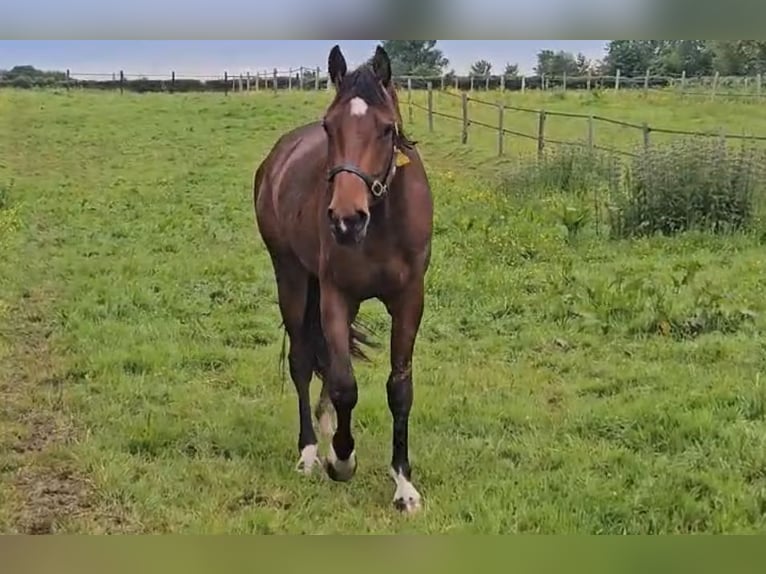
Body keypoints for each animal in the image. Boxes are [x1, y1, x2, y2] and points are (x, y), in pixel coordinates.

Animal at [252, 42, 432, 516]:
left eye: (387, 129)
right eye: (329, 127)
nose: (346, 220)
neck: (381, 226)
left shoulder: (410, 299)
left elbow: (398, 388)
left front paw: (404, 485)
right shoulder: (336, 296)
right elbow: (345, 385)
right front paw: (342, 459)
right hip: (291, 276)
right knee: (302, 362)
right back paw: (311, 452)